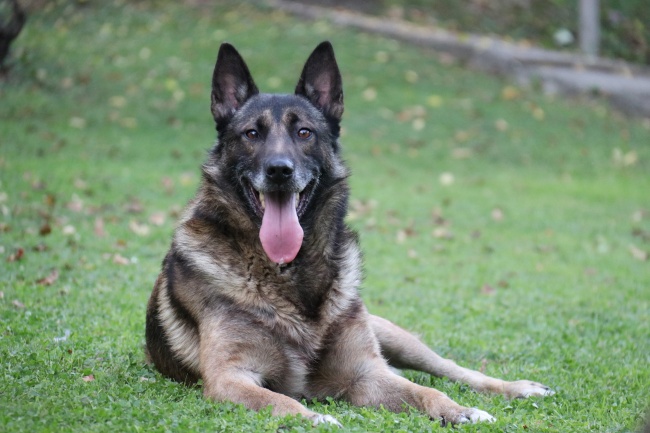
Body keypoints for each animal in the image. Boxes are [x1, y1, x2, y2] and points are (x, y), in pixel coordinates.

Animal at [143, 40, 552, 426]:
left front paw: (460, 411)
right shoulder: (229, 378)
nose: (279, 170)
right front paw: (314, 419)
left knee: (452, 369)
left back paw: (517, 387)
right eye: (252, 133)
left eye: (304, 132)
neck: (289, 274)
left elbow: (427, 392)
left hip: (393, 337)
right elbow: (281, 401)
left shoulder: (365, 374)